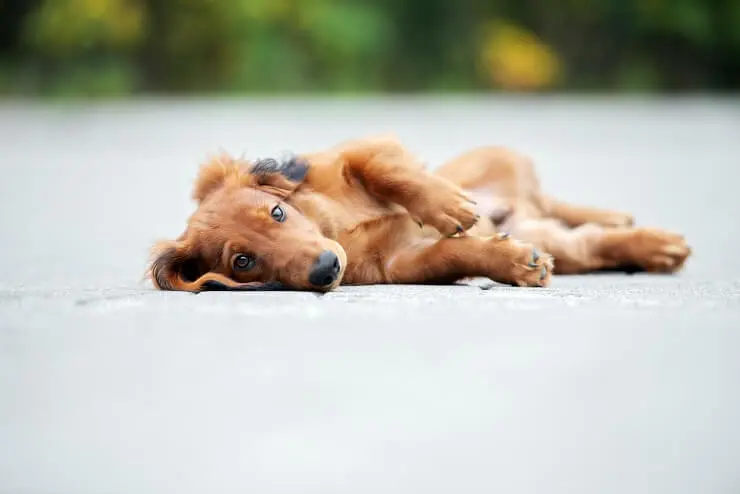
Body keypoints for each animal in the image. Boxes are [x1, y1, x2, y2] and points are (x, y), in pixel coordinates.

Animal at [147, 134, 692, 294]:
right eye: (242, 262)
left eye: (278, 212)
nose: (327, 269)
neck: (336, 229)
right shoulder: (400, 265)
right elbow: (452, 255)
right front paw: (512, 263)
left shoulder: (360, 149)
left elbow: (390, 171)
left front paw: (446, 205)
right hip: (556, 239)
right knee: (589, 243)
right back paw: (656, 247)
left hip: (505, 169)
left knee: (562, 205)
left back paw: (625, 221)